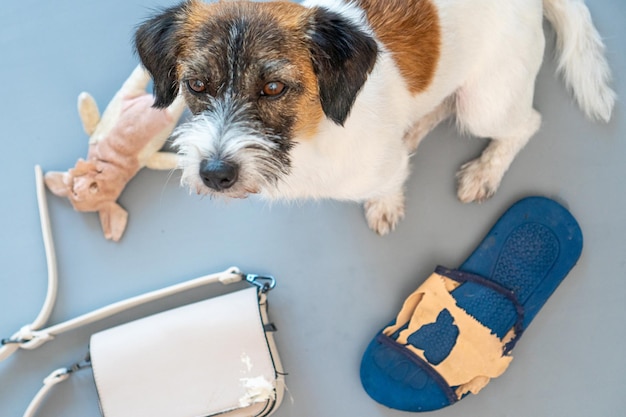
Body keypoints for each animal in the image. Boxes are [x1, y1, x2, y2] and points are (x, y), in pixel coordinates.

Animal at [134, 0, 612, 234]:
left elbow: (388, 182)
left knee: (526, 123)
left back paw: (484, 171)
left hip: (485, 104)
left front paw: (385, 203)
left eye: (273, 88)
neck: (313, 134)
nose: (215, 174)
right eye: (197, 85)